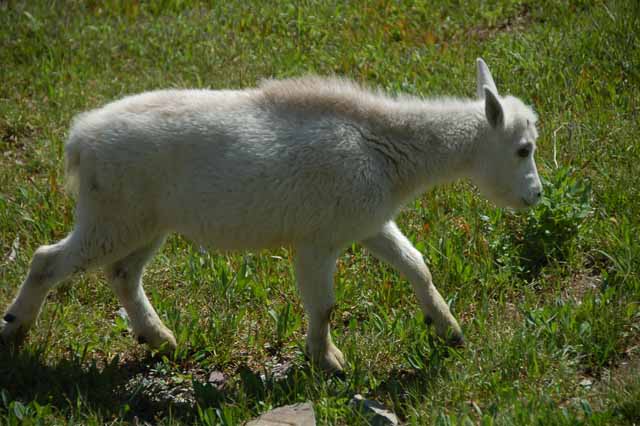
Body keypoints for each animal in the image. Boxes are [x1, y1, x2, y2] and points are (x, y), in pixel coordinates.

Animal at [2, 58, 540, 372]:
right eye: (523, 149)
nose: (536, 196)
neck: (386, 148)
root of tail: (79, 140)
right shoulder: (318, 240)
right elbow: (324, 306)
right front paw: (329, 360)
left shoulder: (368, 223)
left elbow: (417, 265)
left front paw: (448, 329)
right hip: (111, 215)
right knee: (48, 260)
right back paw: (15, 328)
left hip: (142, 222)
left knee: (122, 274)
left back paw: (159, 338)